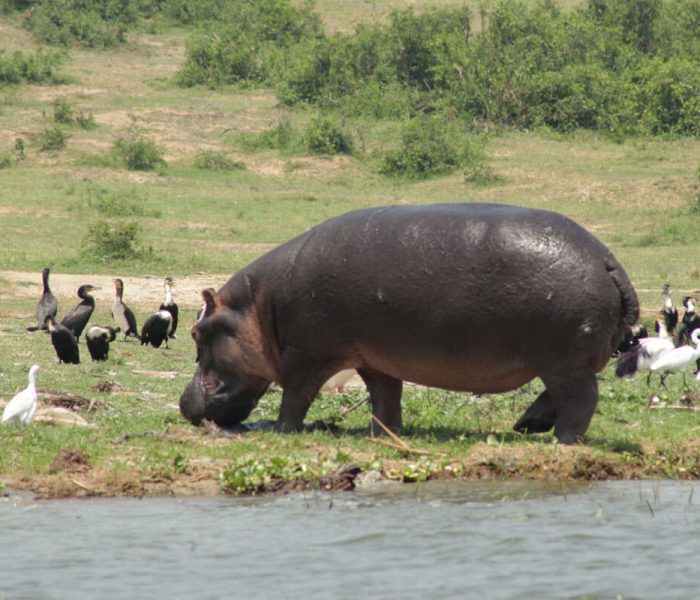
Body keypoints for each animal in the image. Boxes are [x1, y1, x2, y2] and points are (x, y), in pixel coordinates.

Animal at [180, 203, 639, 443]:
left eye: (196, 332)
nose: (185, 404)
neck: (258, 307)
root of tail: (608, 260)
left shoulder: (306, 356)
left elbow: (295, 397)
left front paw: (280, 432)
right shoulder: (373, 358)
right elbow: (386, 396)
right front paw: (383, 434)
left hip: (564, 361)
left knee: (580, 400)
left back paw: (563, 440)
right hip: (562, 360)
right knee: (557, 395)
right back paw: (526, 426)